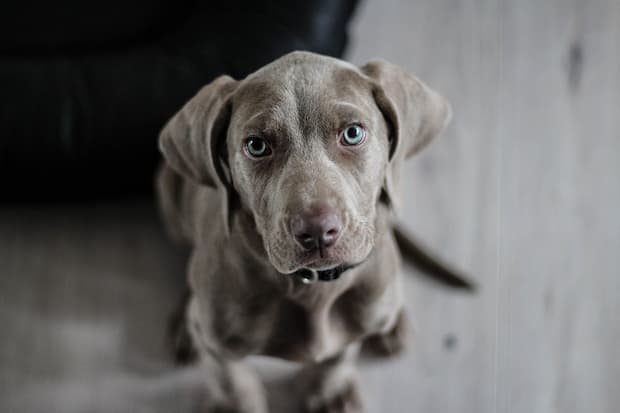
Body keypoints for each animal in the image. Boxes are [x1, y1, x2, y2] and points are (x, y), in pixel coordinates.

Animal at [157, 51, 468, 412]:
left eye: (352, 133)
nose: (318, 231)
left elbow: (338, 357)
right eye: (256, 145)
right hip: (168, 192)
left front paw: (330, 393)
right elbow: (231, 381)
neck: (312, 287)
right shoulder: (218, 345)